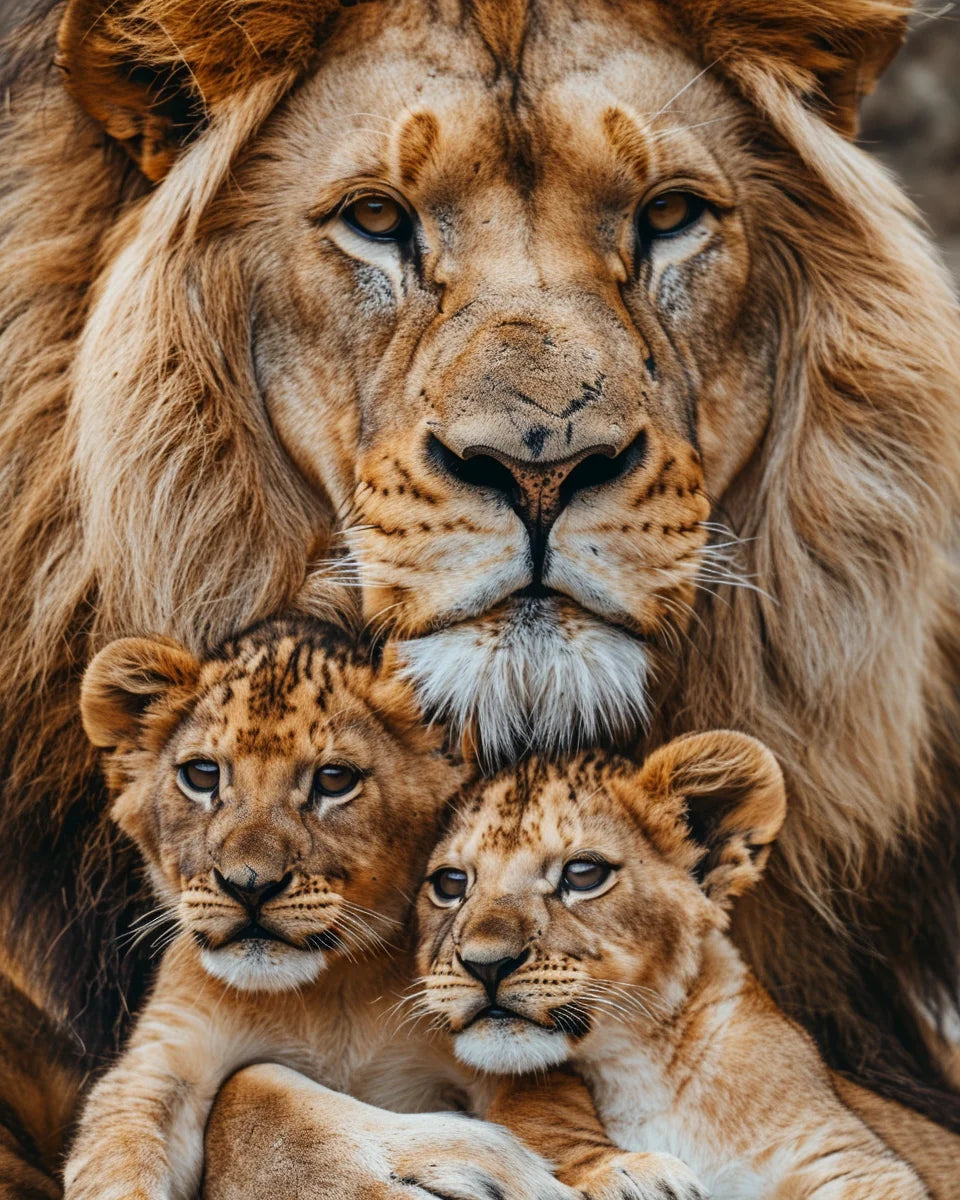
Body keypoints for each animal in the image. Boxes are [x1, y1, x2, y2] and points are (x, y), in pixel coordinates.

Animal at [416, 738, 959, 1198]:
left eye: (584, 874)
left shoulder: (847, 1161)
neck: (631, 1070)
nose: (487, 965)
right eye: (449, 883)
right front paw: (625, 1173)